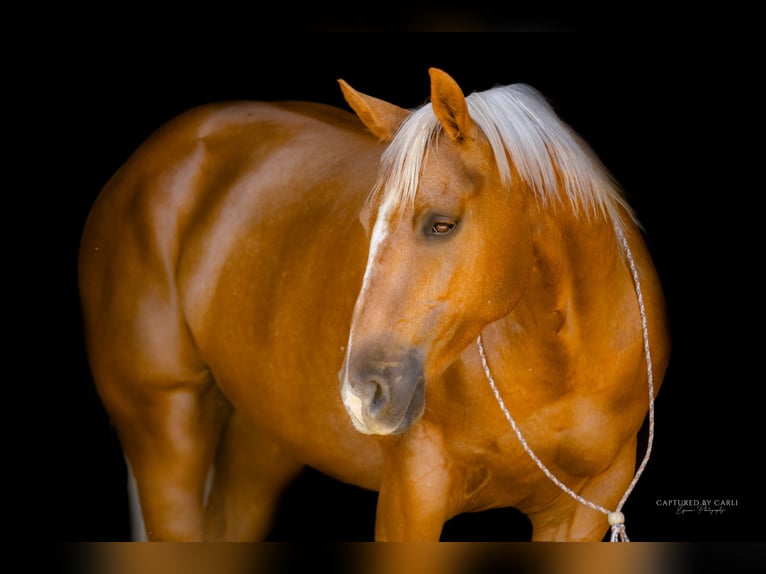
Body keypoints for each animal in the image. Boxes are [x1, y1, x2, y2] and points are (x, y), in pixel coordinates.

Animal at [78, 67, 672, 544]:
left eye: (441, 224)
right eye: (368, 224)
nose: (362, 394)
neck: (561, 370)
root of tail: (148, 163)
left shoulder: (583, 511)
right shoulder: (414, 496)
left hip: (261, 439)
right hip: (164, 427)